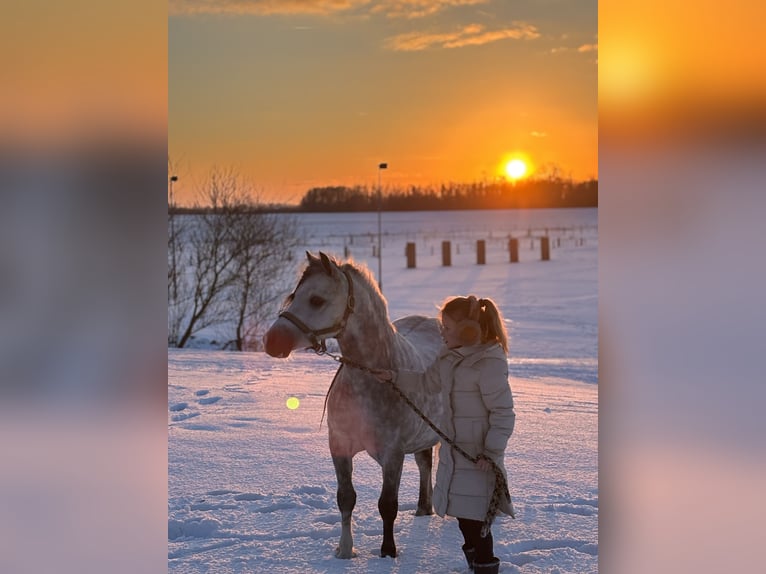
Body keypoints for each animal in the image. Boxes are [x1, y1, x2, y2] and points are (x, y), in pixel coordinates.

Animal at [263, 251, 443, 559]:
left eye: (316, 300)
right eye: (294, 295)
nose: (271, 341)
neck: (374, 379)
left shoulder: (392, 455)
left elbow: (387, 505)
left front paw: (388, 553)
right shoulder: (339, 446)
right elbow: (346, 498)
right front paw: (345, 551)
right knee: (424, 465)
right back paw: (423, 510)